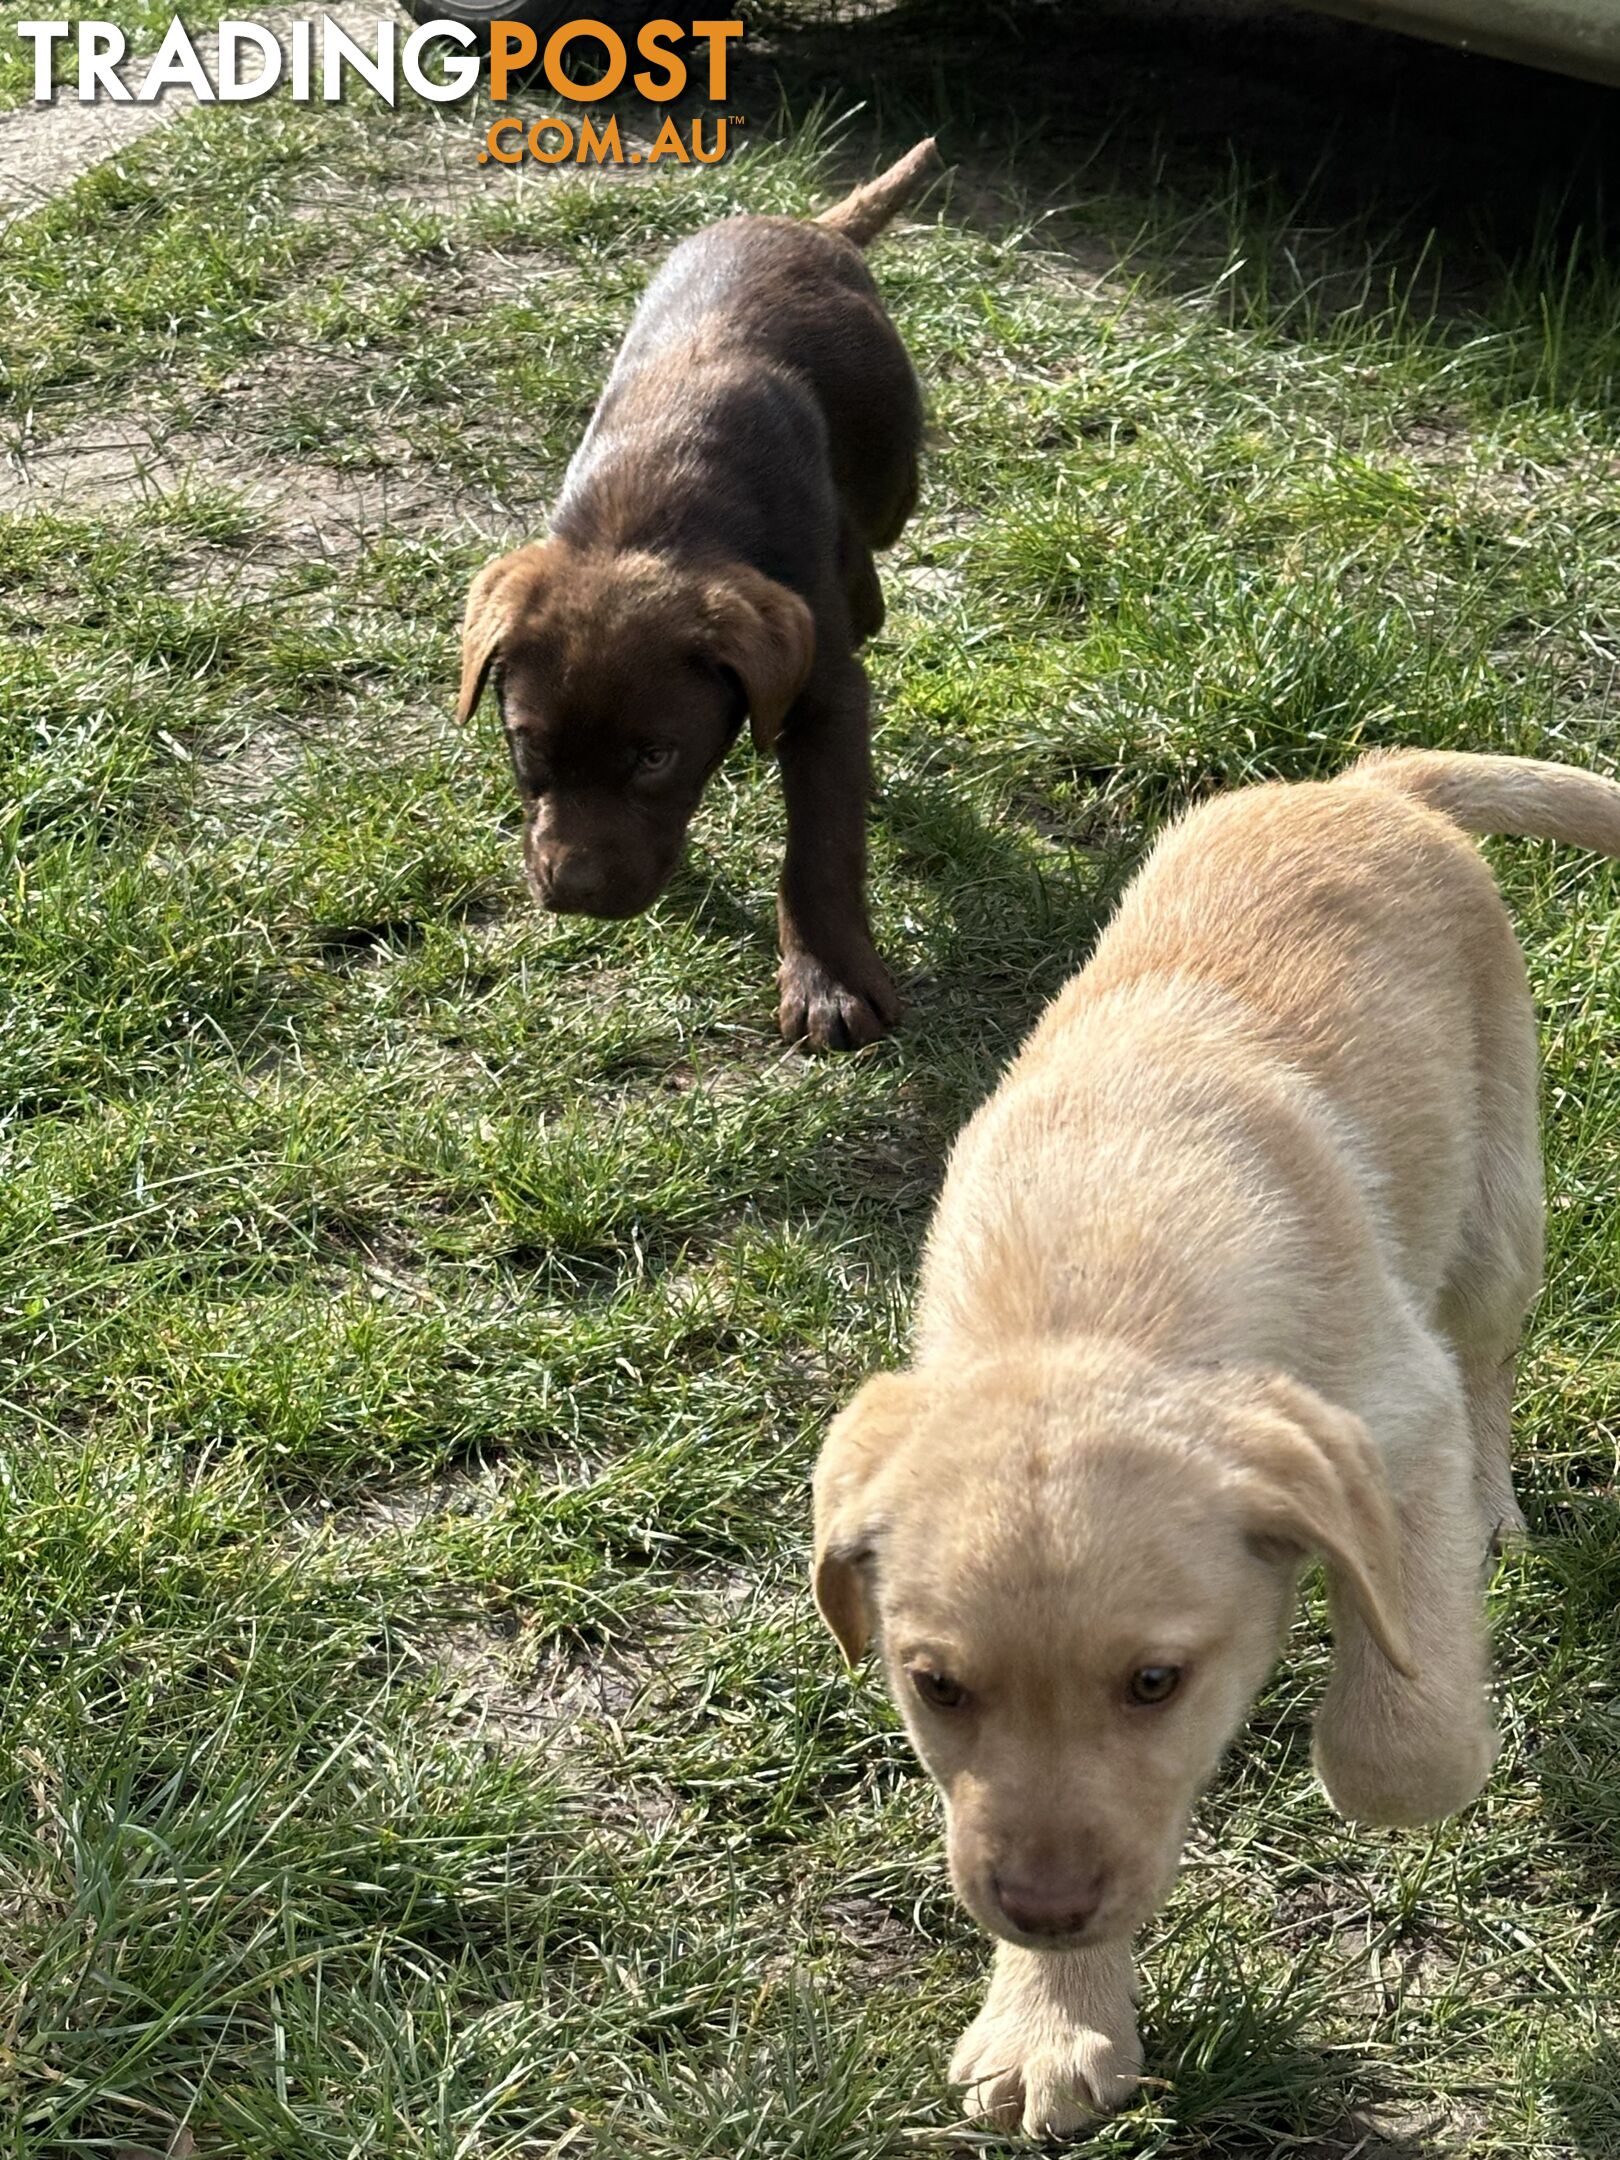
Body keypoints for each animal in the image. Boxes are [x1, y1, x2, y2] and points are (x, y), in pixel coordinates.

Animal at [816, 751, 1620, 2134]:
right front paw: (1054, 2017)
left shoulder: (1395, 1423)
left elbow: (1399, 1743)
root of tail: (1365, 777)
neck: (1090, 1294)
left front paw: (1427, 1726)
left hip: (1498, 1211)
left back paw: (1496, 1510)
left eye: (1156, 1682)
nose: (1042, 1911)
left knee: (1489, 1361)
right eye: (937, 1687)